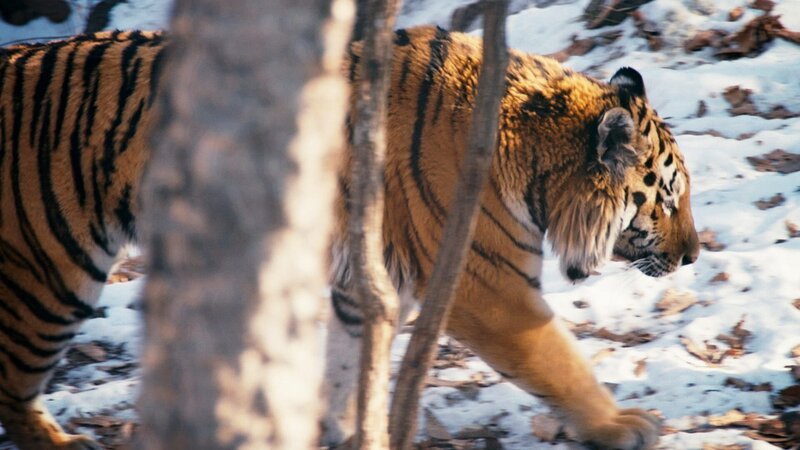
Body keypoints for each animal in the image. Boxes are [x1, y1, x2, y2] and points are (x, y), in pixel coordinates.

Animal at [323, 26, 699, 450]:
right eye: (668, 199)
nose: (694, 255)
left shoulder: (370, 283)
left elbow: (347, 359)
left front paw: (345, 429)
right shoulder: (490, 290)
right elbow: (562, 366)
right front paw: (619, 425)